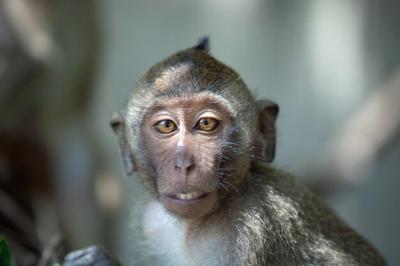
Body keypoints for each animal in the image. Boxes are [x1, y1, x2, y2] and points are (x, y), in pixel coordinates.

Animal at [109, 38, 384, 266]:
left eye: (206, 124)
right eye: (166, 126)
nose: (184, 163)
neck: (194, 227)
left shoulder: (254, 228)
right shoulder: (152, 223)